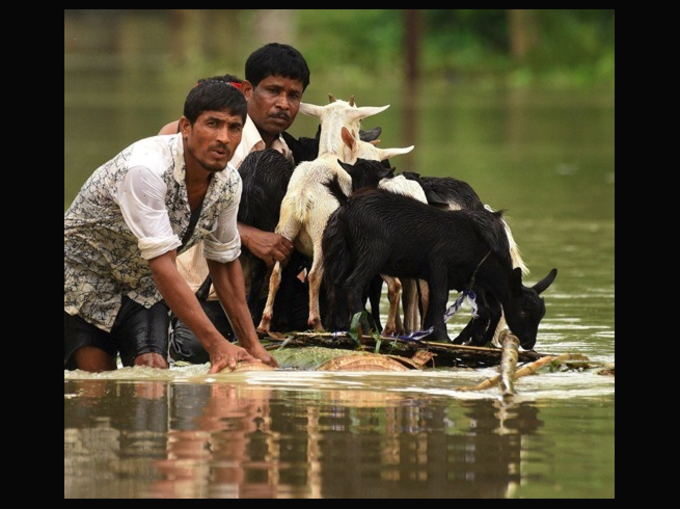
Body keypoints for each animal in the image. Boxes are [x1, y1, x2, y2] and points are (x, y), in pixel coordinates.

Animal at [322, 187, 556, 350]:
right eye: (523, 311)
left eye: (541, 314)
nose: (529, 343)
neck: (480, 251)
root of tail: (347, 204)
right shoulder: (439, 266)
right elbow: (440, 300)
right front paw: (445, 338)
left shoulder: (471, 281)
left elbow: (485, 310)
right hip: (372, 252)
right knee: (353, 284)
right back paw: (365, 328)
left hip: (341, 252)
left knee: (337, 284)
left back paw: (341, 326)